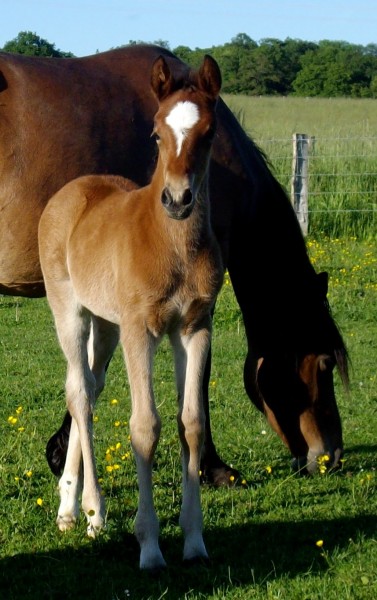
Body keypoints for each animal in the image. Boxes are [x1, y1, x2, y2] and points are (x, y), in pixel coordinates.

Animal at [0, 43, 348, 482]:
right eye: (323, 363)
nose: (331, 455)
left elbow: (95, 372)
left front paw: (62, 452)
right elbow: (196, 380)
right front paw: (213, 468)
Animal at [37, 57, 223, 572]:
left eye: (209, 133)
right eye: (156, 133)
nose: (177, 199)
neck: (174, 246)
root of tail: (71, 190)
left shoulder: (195, 327)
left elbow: (191, 422)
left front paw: (194, 540)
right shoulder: (142, 330)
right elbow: (145, 428)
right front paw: (150, 547)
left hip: (106, 323)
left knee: (90, 388)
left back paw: (70, 507)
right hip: (71, 311)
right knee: (79, 392)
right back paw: (93, 510)